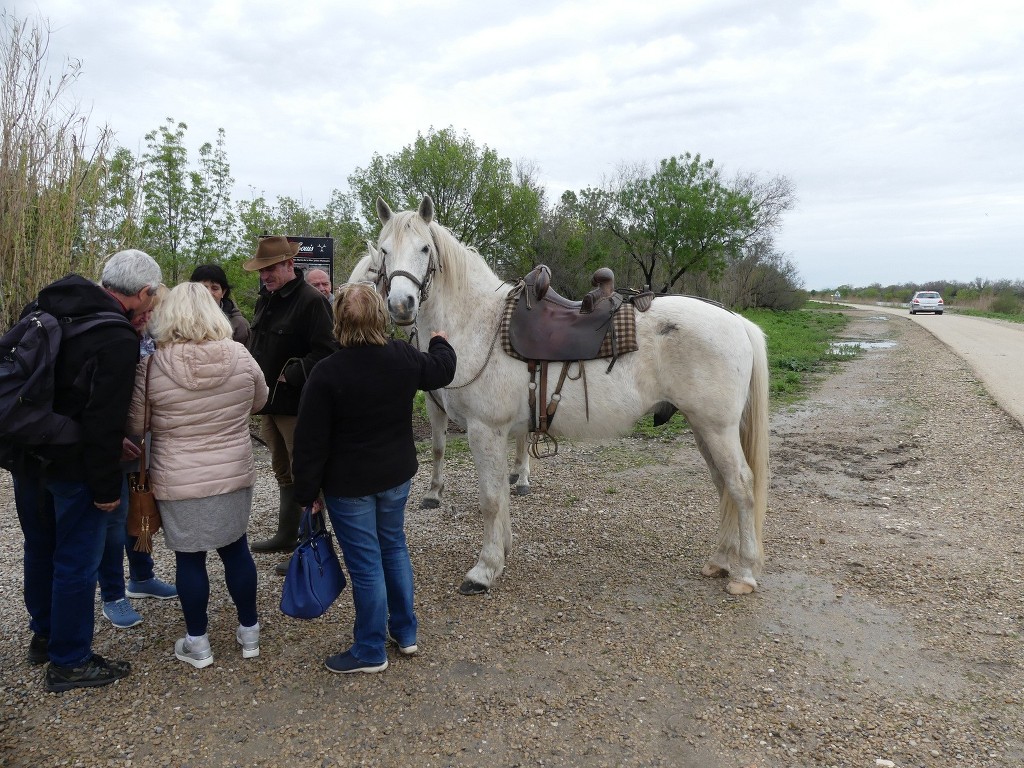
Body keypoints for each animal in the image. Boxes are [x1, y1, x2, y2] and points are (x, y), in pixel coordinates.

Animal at [348, 249, 536, 507]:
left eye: (370, 274)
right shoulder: (433, 402)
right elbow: (438, 446)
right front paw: (434, 492)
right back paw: (516, 472)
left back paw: (523, 479)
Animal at [372, 195, 765, 598]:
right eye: (384, 250)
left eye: (424, 248)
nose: (401, 305)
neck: (479, 323)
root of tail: (736, 321)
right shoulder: (498, 433)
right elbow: (502, 497)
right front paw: (503, 551)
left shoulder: (485, 430)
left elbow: (491, 500)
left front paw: (485, 570)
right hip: (703, 428)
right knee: (722, 486)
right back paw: (719, 561)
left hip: (717, 429)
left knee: (741, 487)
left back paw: (744, 573)